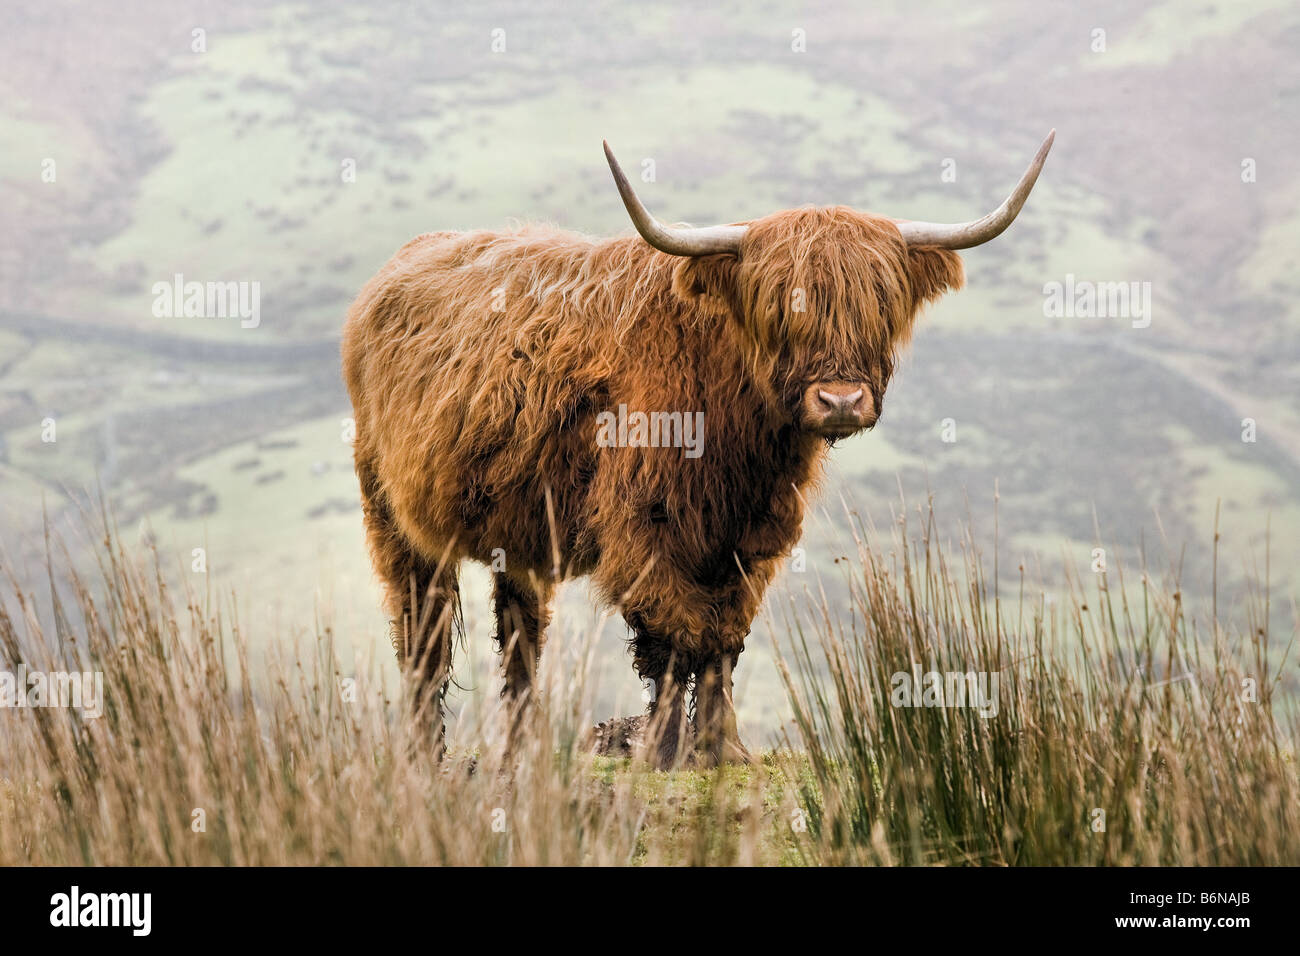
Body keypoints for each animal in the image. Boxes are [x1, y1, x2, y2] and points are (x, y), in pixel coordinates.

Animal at [340, 128, 1050, 770]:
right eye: (781, 307)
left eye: (880, 302)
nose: (842, 400)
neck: (740, 441)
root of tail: (393, 270)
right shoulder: (646, 528)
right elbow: (673, 639)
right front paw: (663, 751)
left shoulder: (749, 538)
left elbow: (722, 641)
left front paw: (724, 748)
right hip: (393, 516)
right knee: (422, 634)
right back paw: (422, 757)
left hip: (515, 531)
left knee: (519, 634)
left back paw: (521, 753)